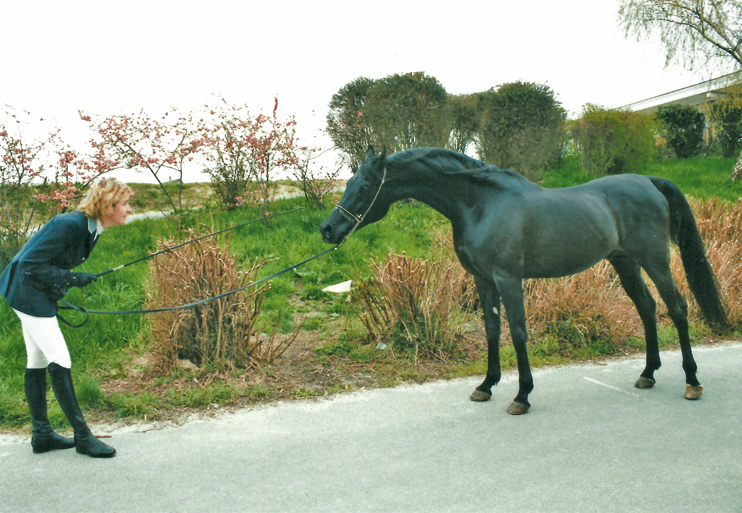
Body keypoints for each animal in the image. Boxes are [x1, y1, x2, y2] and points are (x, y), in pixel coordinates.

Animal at [322, 144, 728, 412]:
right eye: (349, 184)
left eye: (363, 187)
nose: (327, 229)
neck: (480, 204)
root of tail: (648, 181)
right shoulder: (484, 281)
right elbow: (492, 329)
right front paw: (486, 385)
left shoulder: (507, 279)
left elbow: (517, 332)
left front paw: (522, 395)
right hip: (624, 262)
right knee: (647, 308)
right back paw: (647, 374)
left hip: (655, 261)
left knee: (677, 308)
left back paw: (692, 382)